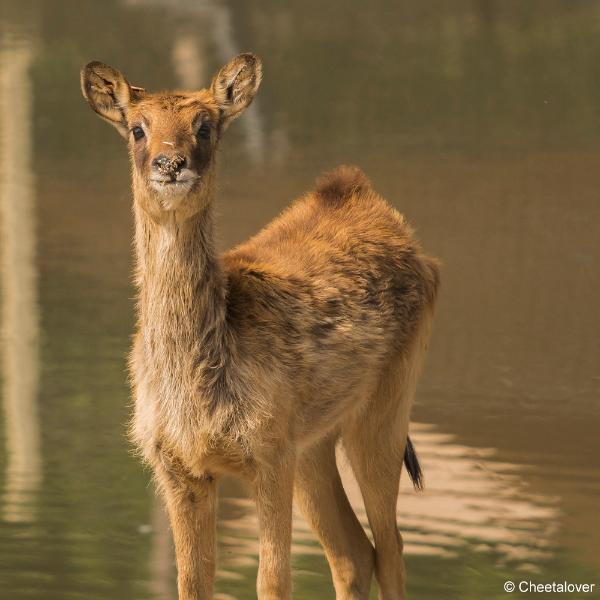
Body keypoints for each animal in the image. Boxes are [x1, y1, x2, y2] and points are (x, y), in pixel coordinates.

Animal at [81, 54, 440, 596]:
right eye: (138, 129)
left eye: (205, 126)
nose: (170, 164)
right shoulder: (176, 465)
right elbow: (192, 582)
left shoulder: (268, 451)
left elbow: (272, 580)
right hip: (313, 441)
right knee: (354, 553)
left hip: (386, 406)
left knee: (391, 548)